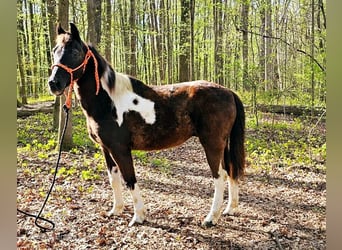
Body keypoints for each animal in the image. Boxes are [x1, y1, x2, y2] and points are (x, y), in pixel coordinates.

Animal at [48, 23, 246, 227]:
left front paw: (138, 216)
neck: (108, 101)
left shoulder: (120, 149)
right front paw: (116, 210)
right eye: (54, 50)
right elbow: (114, 179)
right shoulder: (106, 149)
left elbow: (130, 179)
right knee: (230, 171)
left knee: (219, 176)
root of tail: (228, 91)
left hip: (212, 144)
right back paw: (229, 209)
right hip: (222, 145)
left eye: (74, 52)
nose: (54, 83)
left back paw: (211, 218)